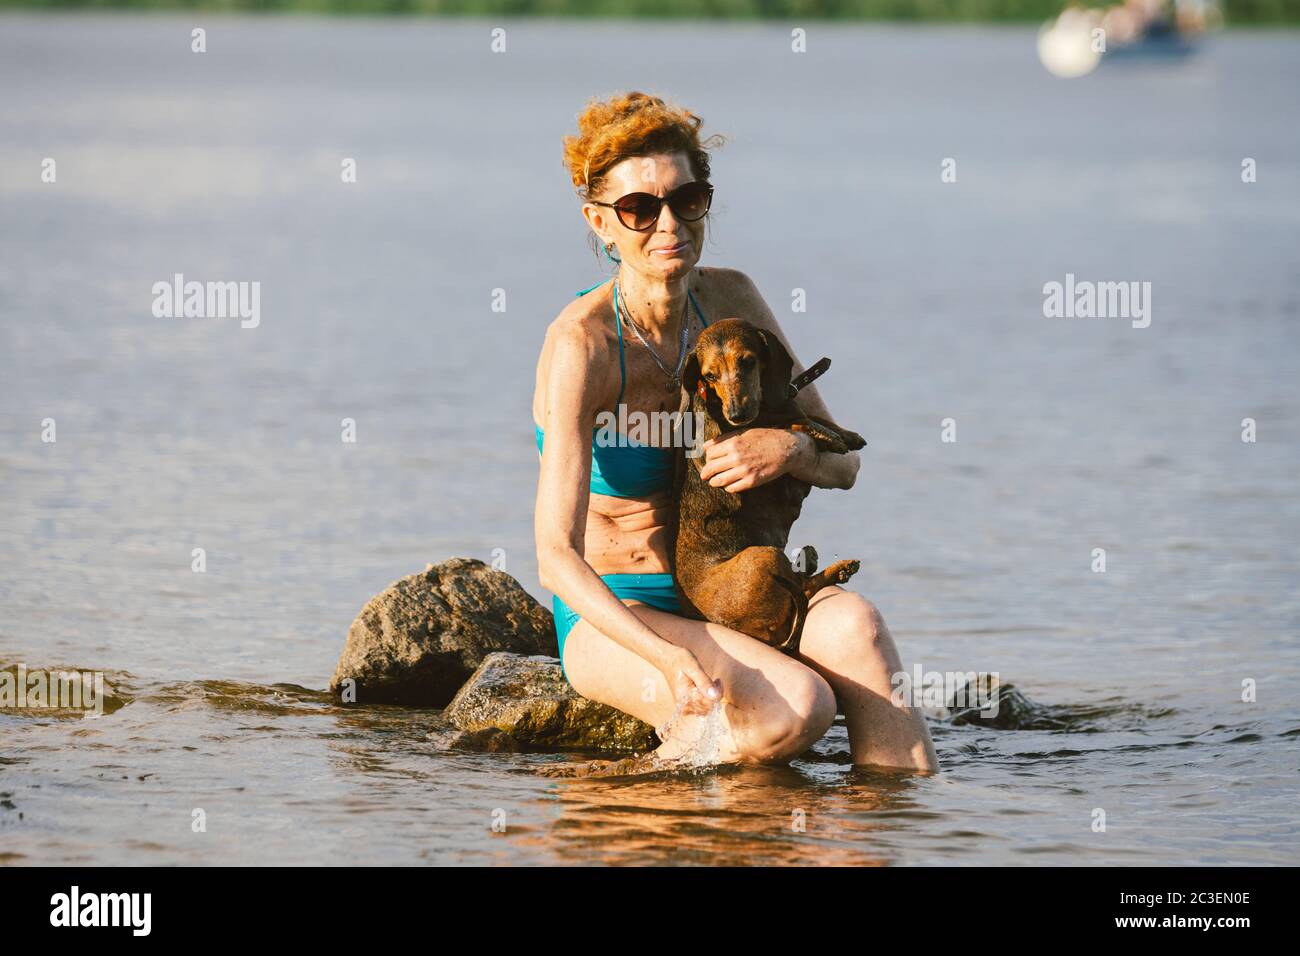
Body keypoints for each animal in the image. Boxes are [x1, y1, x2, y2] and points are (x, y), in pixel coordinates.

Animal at [676, 321, 868, 658]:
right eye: (709, 376)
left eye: (748, 361)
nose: (737, 415)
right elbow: (789, 427)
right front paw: (827, 436)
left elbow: (805, 416)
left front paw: (845, 433)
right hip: (765, 556)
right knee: (803, 589)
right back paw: (837, 568)